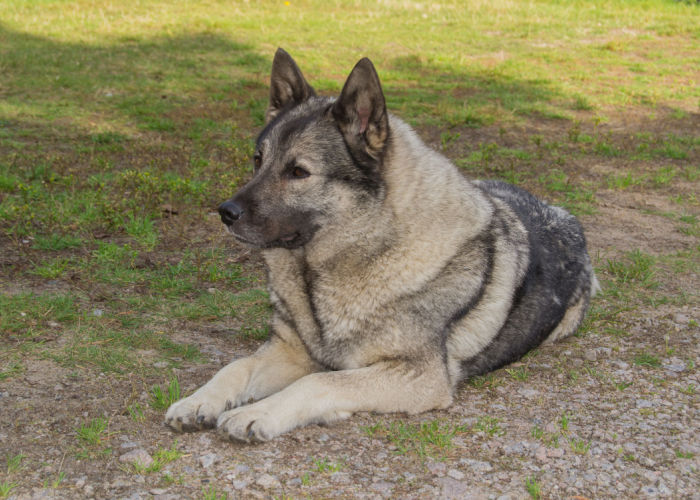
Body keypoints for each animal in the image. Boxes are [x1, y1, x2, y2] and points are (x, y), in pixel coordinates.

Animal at [164, 49, 596, 442]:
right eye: (257, 160)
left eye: (298, 172)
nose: (225, 212)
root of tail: (562, 213)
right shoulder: (289, 351)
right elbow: (235, 367)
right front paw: (197, 401)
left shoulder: (419, 375)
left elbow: (319, 382)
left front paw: (259, 413)